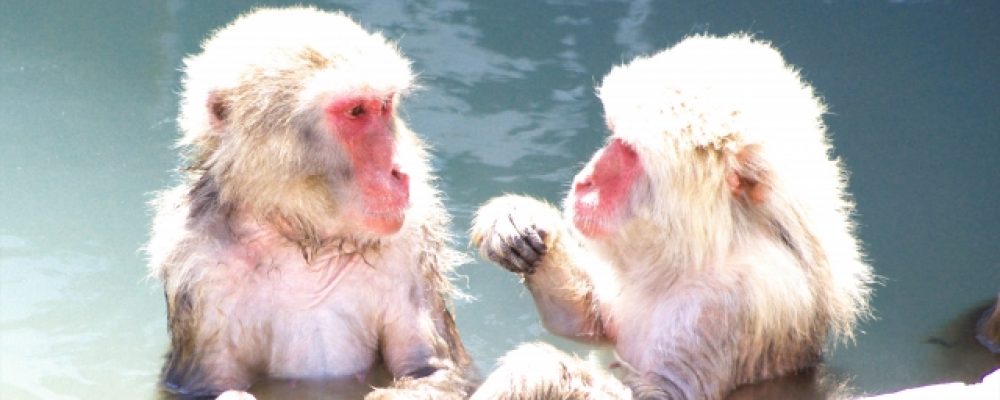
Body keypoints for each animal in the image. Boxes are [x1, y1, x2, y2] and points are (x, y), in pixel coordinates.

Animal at [146, 7, 478, 398]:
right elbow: (203, 384)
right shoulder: (197, 262)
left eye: (383, 106)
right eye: (356, 111)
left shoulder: (412, 241)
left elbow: (432, 370)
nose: (400, 171)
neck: (306, 239)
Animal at [472, 35, 872, 400]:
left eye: (630, 152)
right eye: (614, 136)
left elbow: (667, 395)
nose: (585, 181)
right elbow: (587, 324)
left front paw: (535, 374)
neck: (706, 247)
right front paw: (512, 222)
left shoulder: (730, 304)